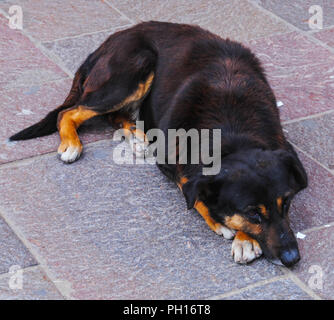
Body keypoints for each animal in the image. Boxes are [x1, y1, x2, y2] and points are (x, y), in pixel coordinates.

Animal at [9, 21, 308, 268]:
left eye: (287, 203)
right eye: (253, 214)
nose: (293, 258)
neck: (232, 128)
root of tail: (108, 42)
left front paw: (243, 238)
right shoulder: (169, 162)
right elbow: (192, 191)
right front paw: (230, 228)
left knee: (109, 115)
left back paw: (134, 135)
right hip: (134, 68)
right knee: (69, 112)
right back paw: (72, 143)